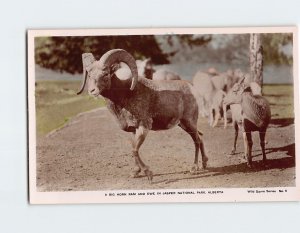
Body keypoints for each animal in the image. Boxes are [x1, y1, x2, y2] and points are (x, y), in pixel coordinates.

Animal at [77, 49, 209, 182]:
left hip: (189, 123)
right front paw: (135, 172)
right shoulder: (133, 130)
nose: (92, 91)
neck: (125, 95)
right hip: (183, 125)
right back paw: (204, 164)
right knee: (200, 139)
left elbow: (134, 150)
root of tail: (192, 89)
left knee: (197, 141)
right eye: (89, 75)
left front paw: (148, 174)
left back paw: (194, 168)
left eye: (105, 74)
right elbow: (133, 148)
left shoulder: (144, 127)